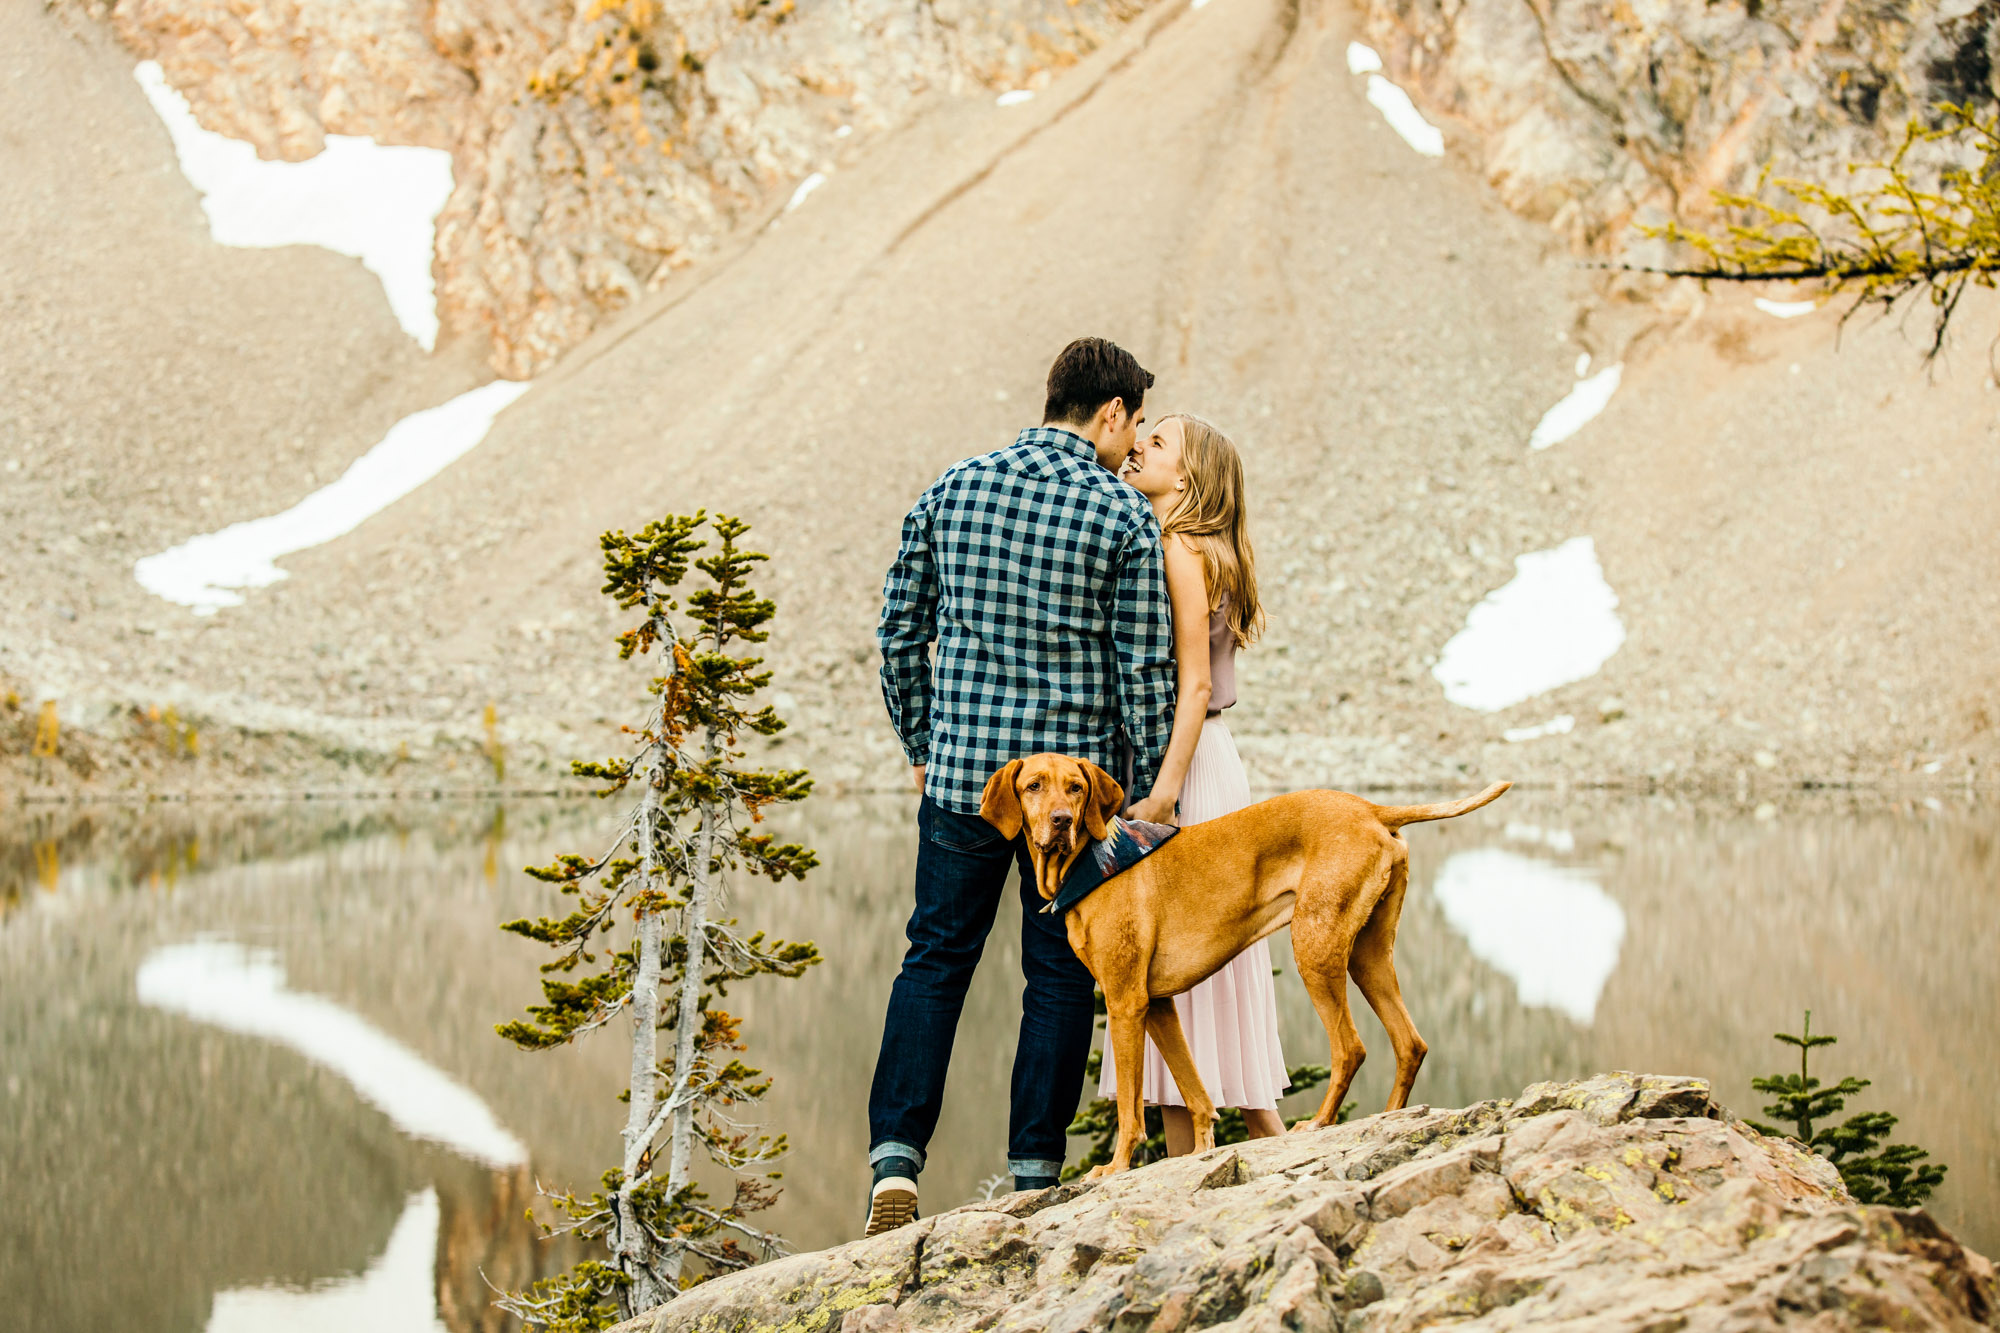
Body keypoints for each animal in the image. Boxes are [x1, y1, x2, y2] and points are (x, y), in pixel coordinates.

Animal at [976, 748, 1504, 1176]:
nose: (1062, 821)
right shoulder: (1158, 1005)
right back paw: (1392, 1119)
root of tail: (1371, 808)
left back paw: (1318, 1122)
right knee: (1410, 1043)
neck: (1089, 862)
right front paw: (1201, 1151)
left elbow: (1129, 1105)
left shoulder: (1126, 1003)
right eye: (1033, 786)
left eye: (1076, 787)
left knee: (1351, 1048)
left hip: (1315, 949)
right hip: (1367, 956)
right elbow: (1196, 1092)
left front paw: (1116, 1167)